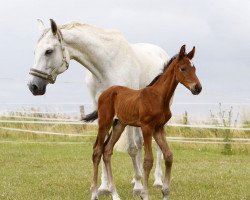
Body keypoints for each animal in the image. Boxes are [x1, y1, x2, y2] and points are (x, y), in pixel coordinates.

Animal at [27, 19, 170, 200]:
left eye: (48, 51)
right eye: (35, 51)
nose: (33, 86)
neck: (106, 65)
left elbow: (131, 148)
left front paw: (138, 188)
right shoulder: (102, 111)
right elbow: (102, 147)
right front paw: (104, 187)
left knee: (155, 146)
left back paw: (156, 181)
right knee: (140, 143)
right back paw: (135, 178)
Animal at [88, 45, 201, 200]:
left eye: (194, 68)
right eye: (183, 68)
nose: (198, 88)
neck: (158, 97)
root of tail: (105, 93)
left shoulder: (159, 128)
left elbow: (168, 156)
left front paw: (165, 192)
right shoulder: (147, 127)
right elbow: (148, 160)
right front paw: (144, 194)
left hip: (119, 125)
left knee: (107, 150)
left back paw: (115, 194)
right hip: (105, 122)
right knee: (97, 150)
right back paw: (94, 193)